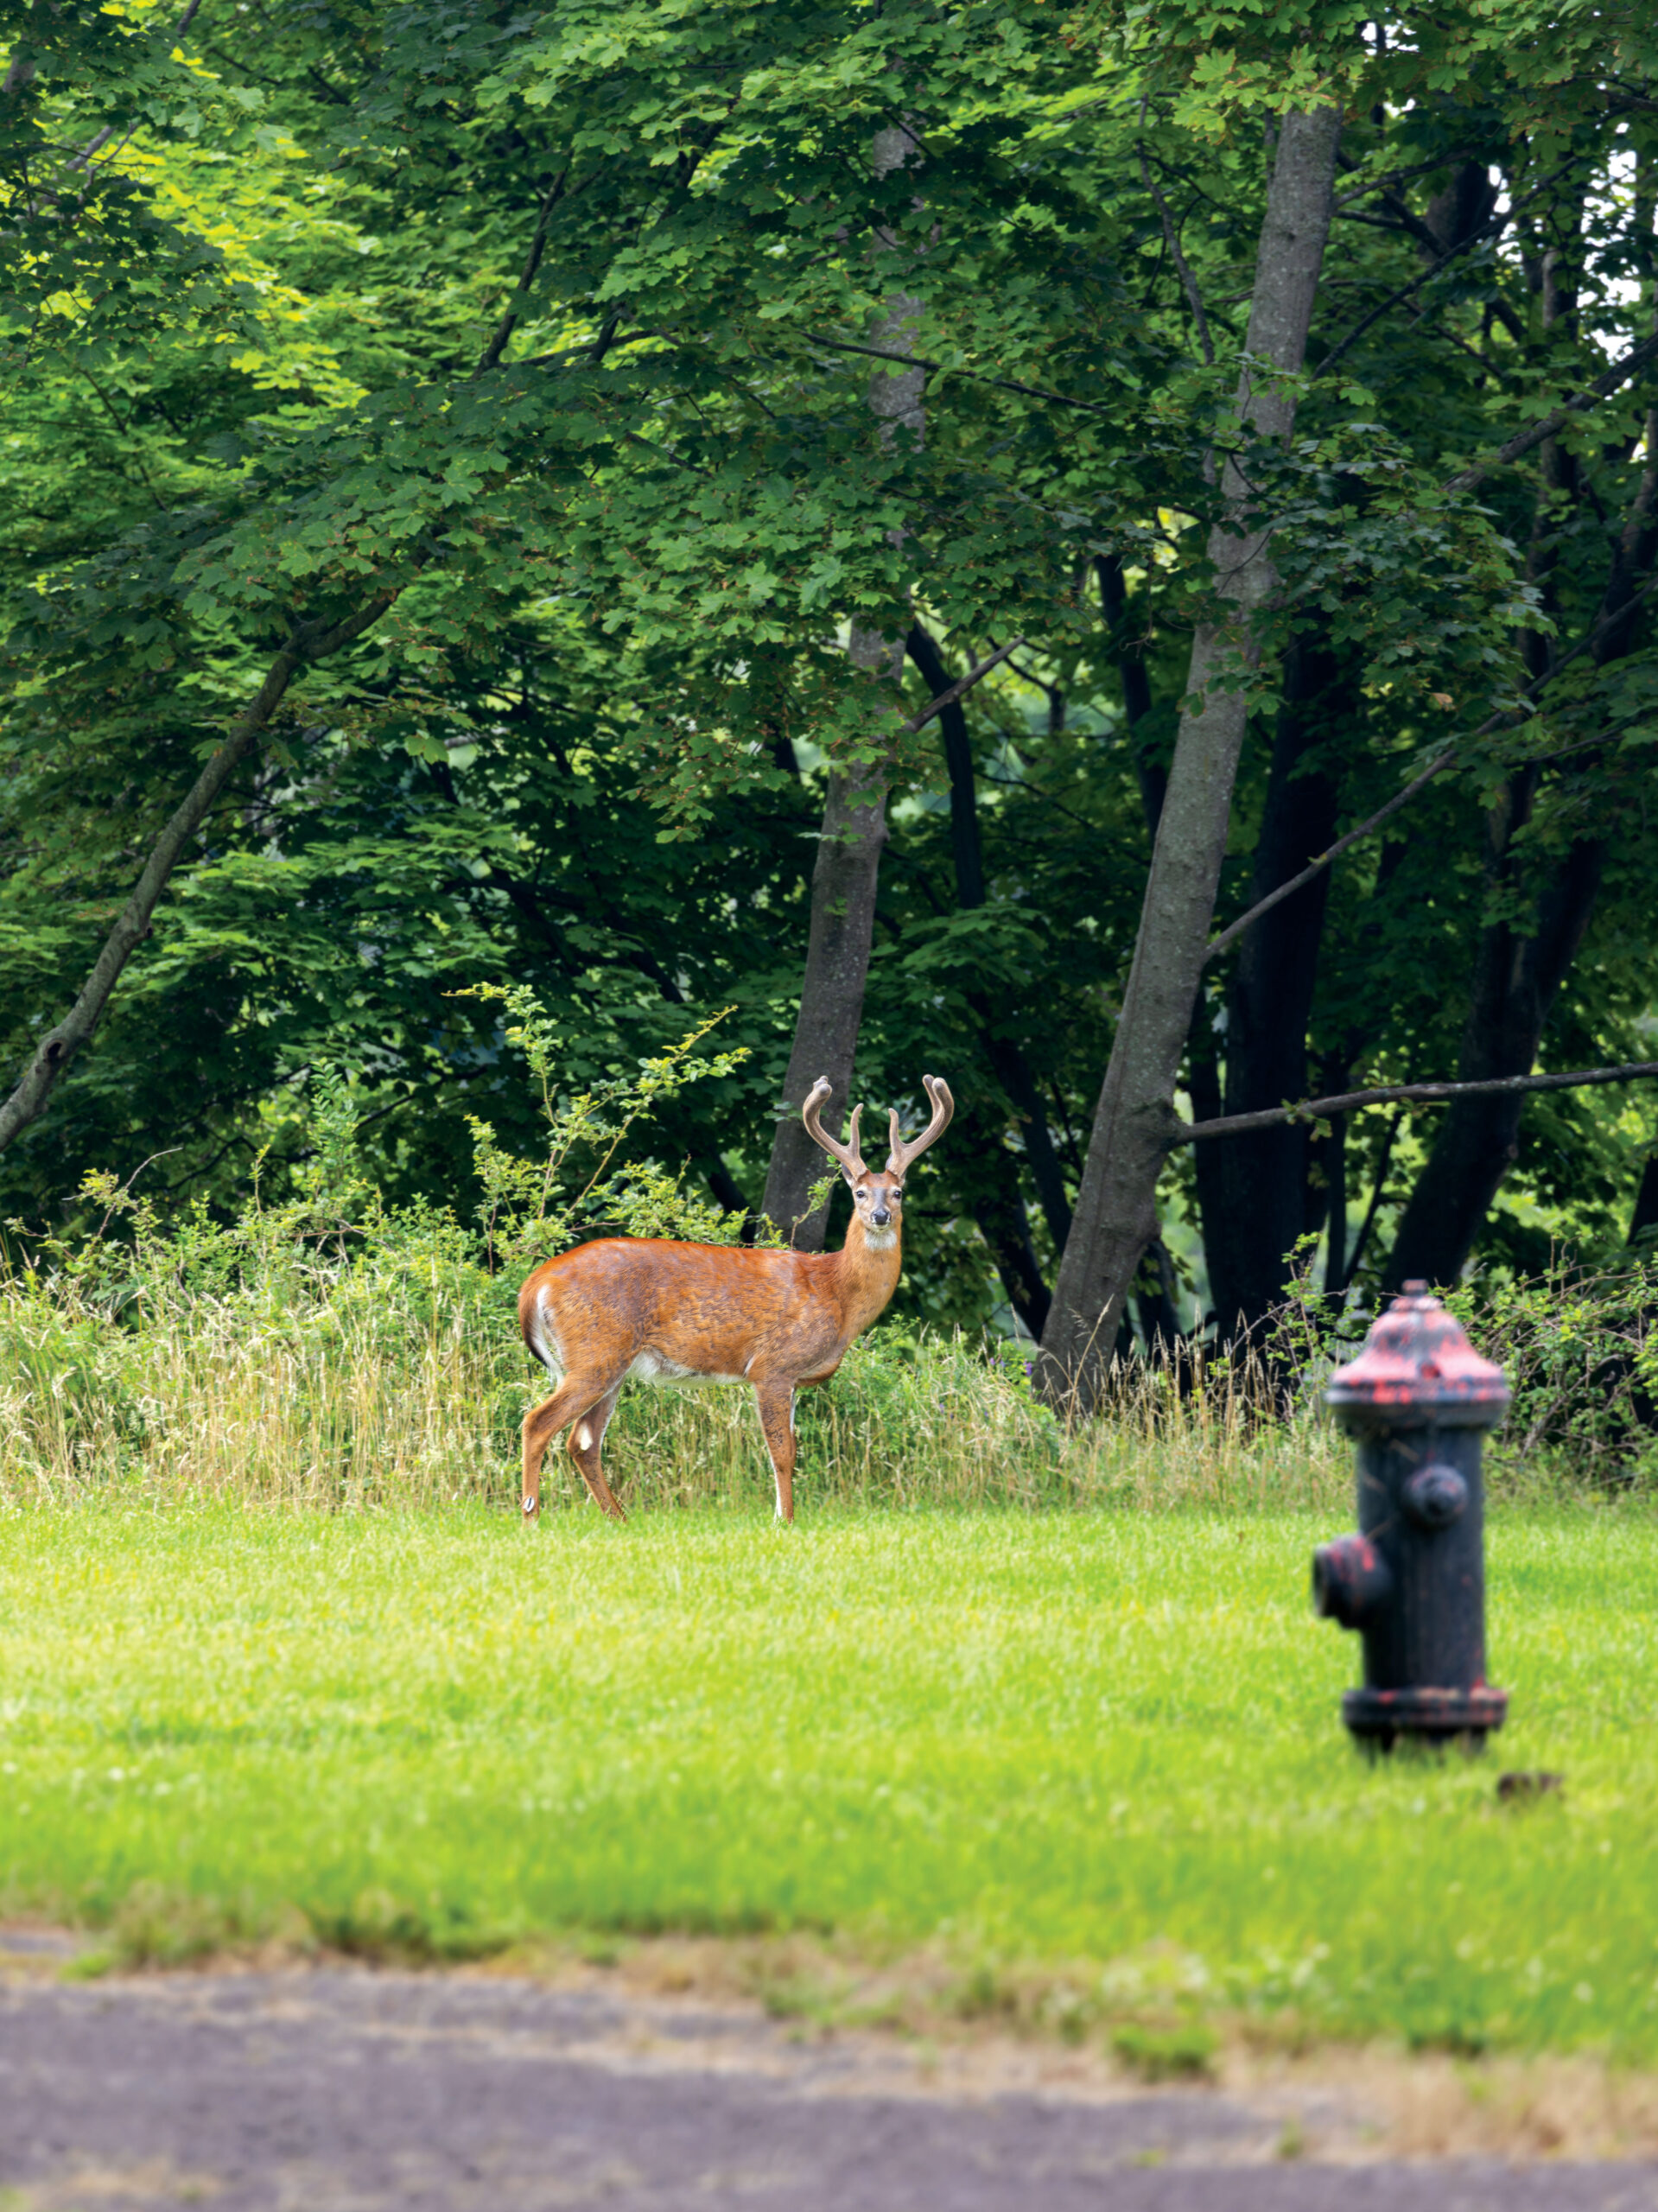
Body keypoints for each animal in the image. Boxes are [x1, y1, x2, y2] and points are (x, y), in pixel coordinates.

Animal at [516, 1073, 954, 1524]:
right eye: (860, 1193)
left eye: (898, 1192)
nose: (881, 1216)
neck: (836, 1293)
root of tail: (538, 1281)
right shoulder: (772, 1366)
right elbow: (783, 1452)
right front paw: (786, 1521)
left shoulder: (792, 1378)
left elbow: (789, 1449)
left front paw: (781, 1516)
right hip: (594, 1352)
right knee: (537, 1423)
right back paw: (532, 1517)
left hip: (609, 1364)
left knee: (582, 1442)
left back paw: (618, 1518)